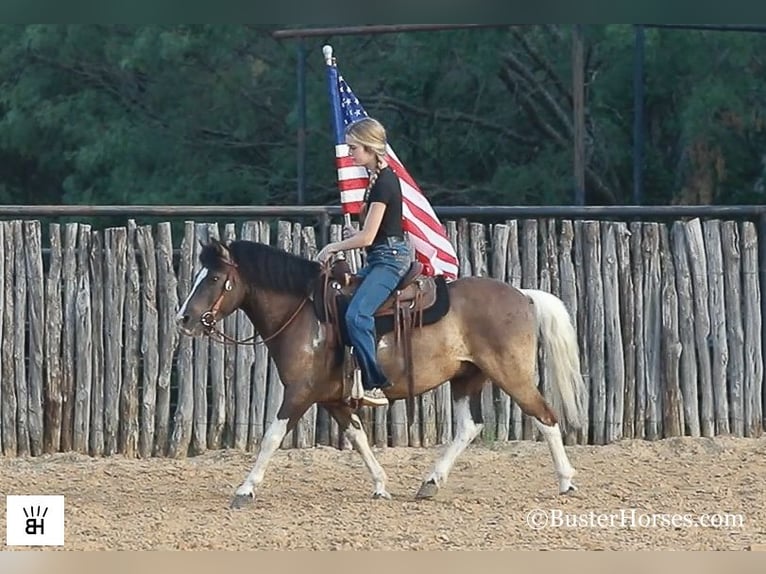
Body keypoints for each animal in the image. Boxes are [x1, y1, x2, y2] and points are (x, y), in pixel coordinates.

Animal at [177, 240, 592, 512]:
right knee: (469, 427)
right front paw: (380, 486)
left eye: (213, 278)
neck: (306, 313)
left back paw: (567, 481)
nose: (184, 319)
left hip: (511, 375)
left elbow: (271, 437)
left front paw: (245, 490)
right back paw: (430, 483)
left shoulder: (299, 393)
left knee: (546, 416)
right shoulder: (333, 400)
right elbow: (358, 437)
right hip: (467, 377)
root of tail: (523, 295)